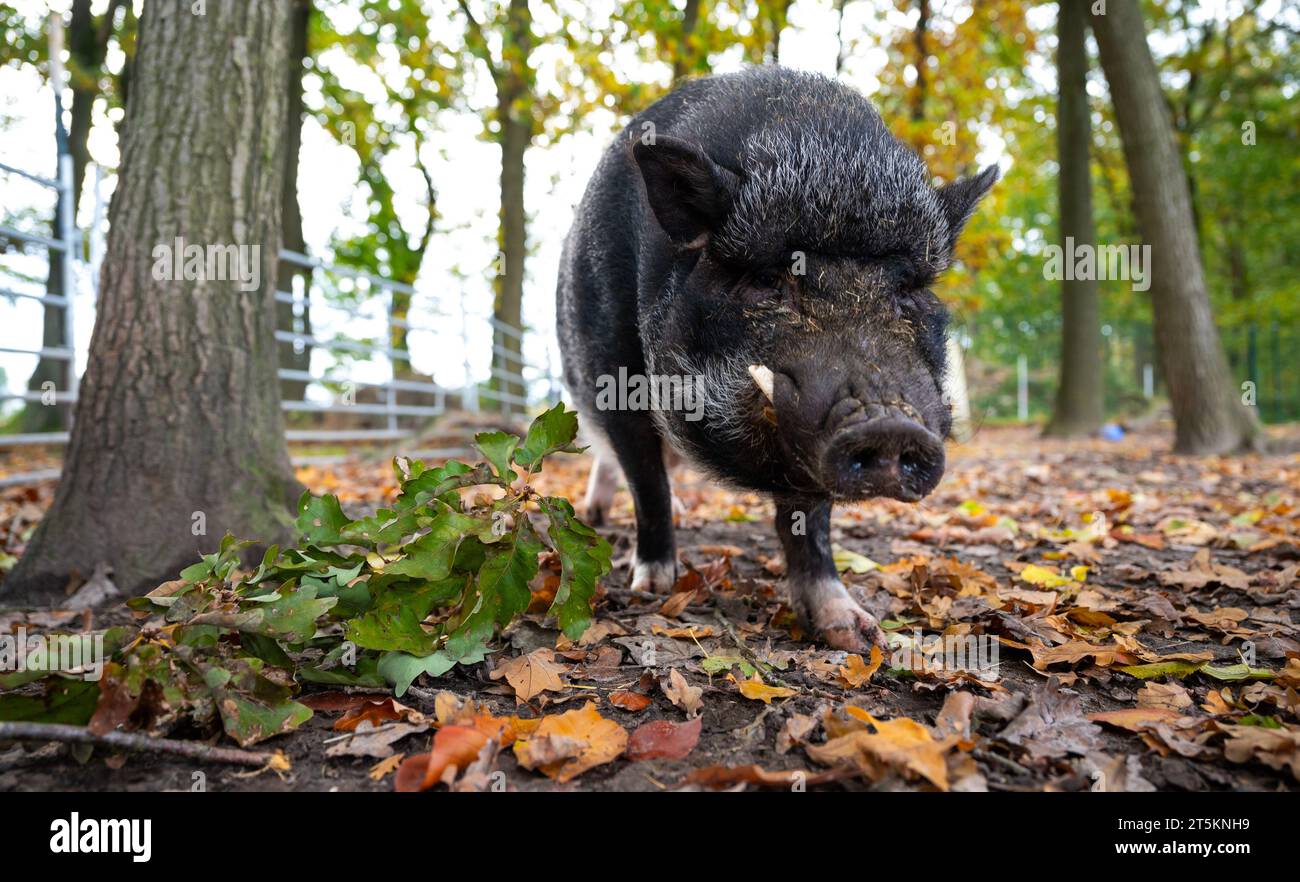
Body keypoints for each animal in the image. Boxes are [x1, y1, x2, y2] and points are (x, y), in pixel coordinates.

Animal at [556, 67, 993, 650]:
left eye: (906, 289)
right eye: (766, 280)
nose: (889, 424)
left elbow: (811, 520)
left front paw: (855, 632)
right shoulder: (612, 374)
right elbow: (645, 477)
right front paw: (651, 586)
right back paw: (600, 517)